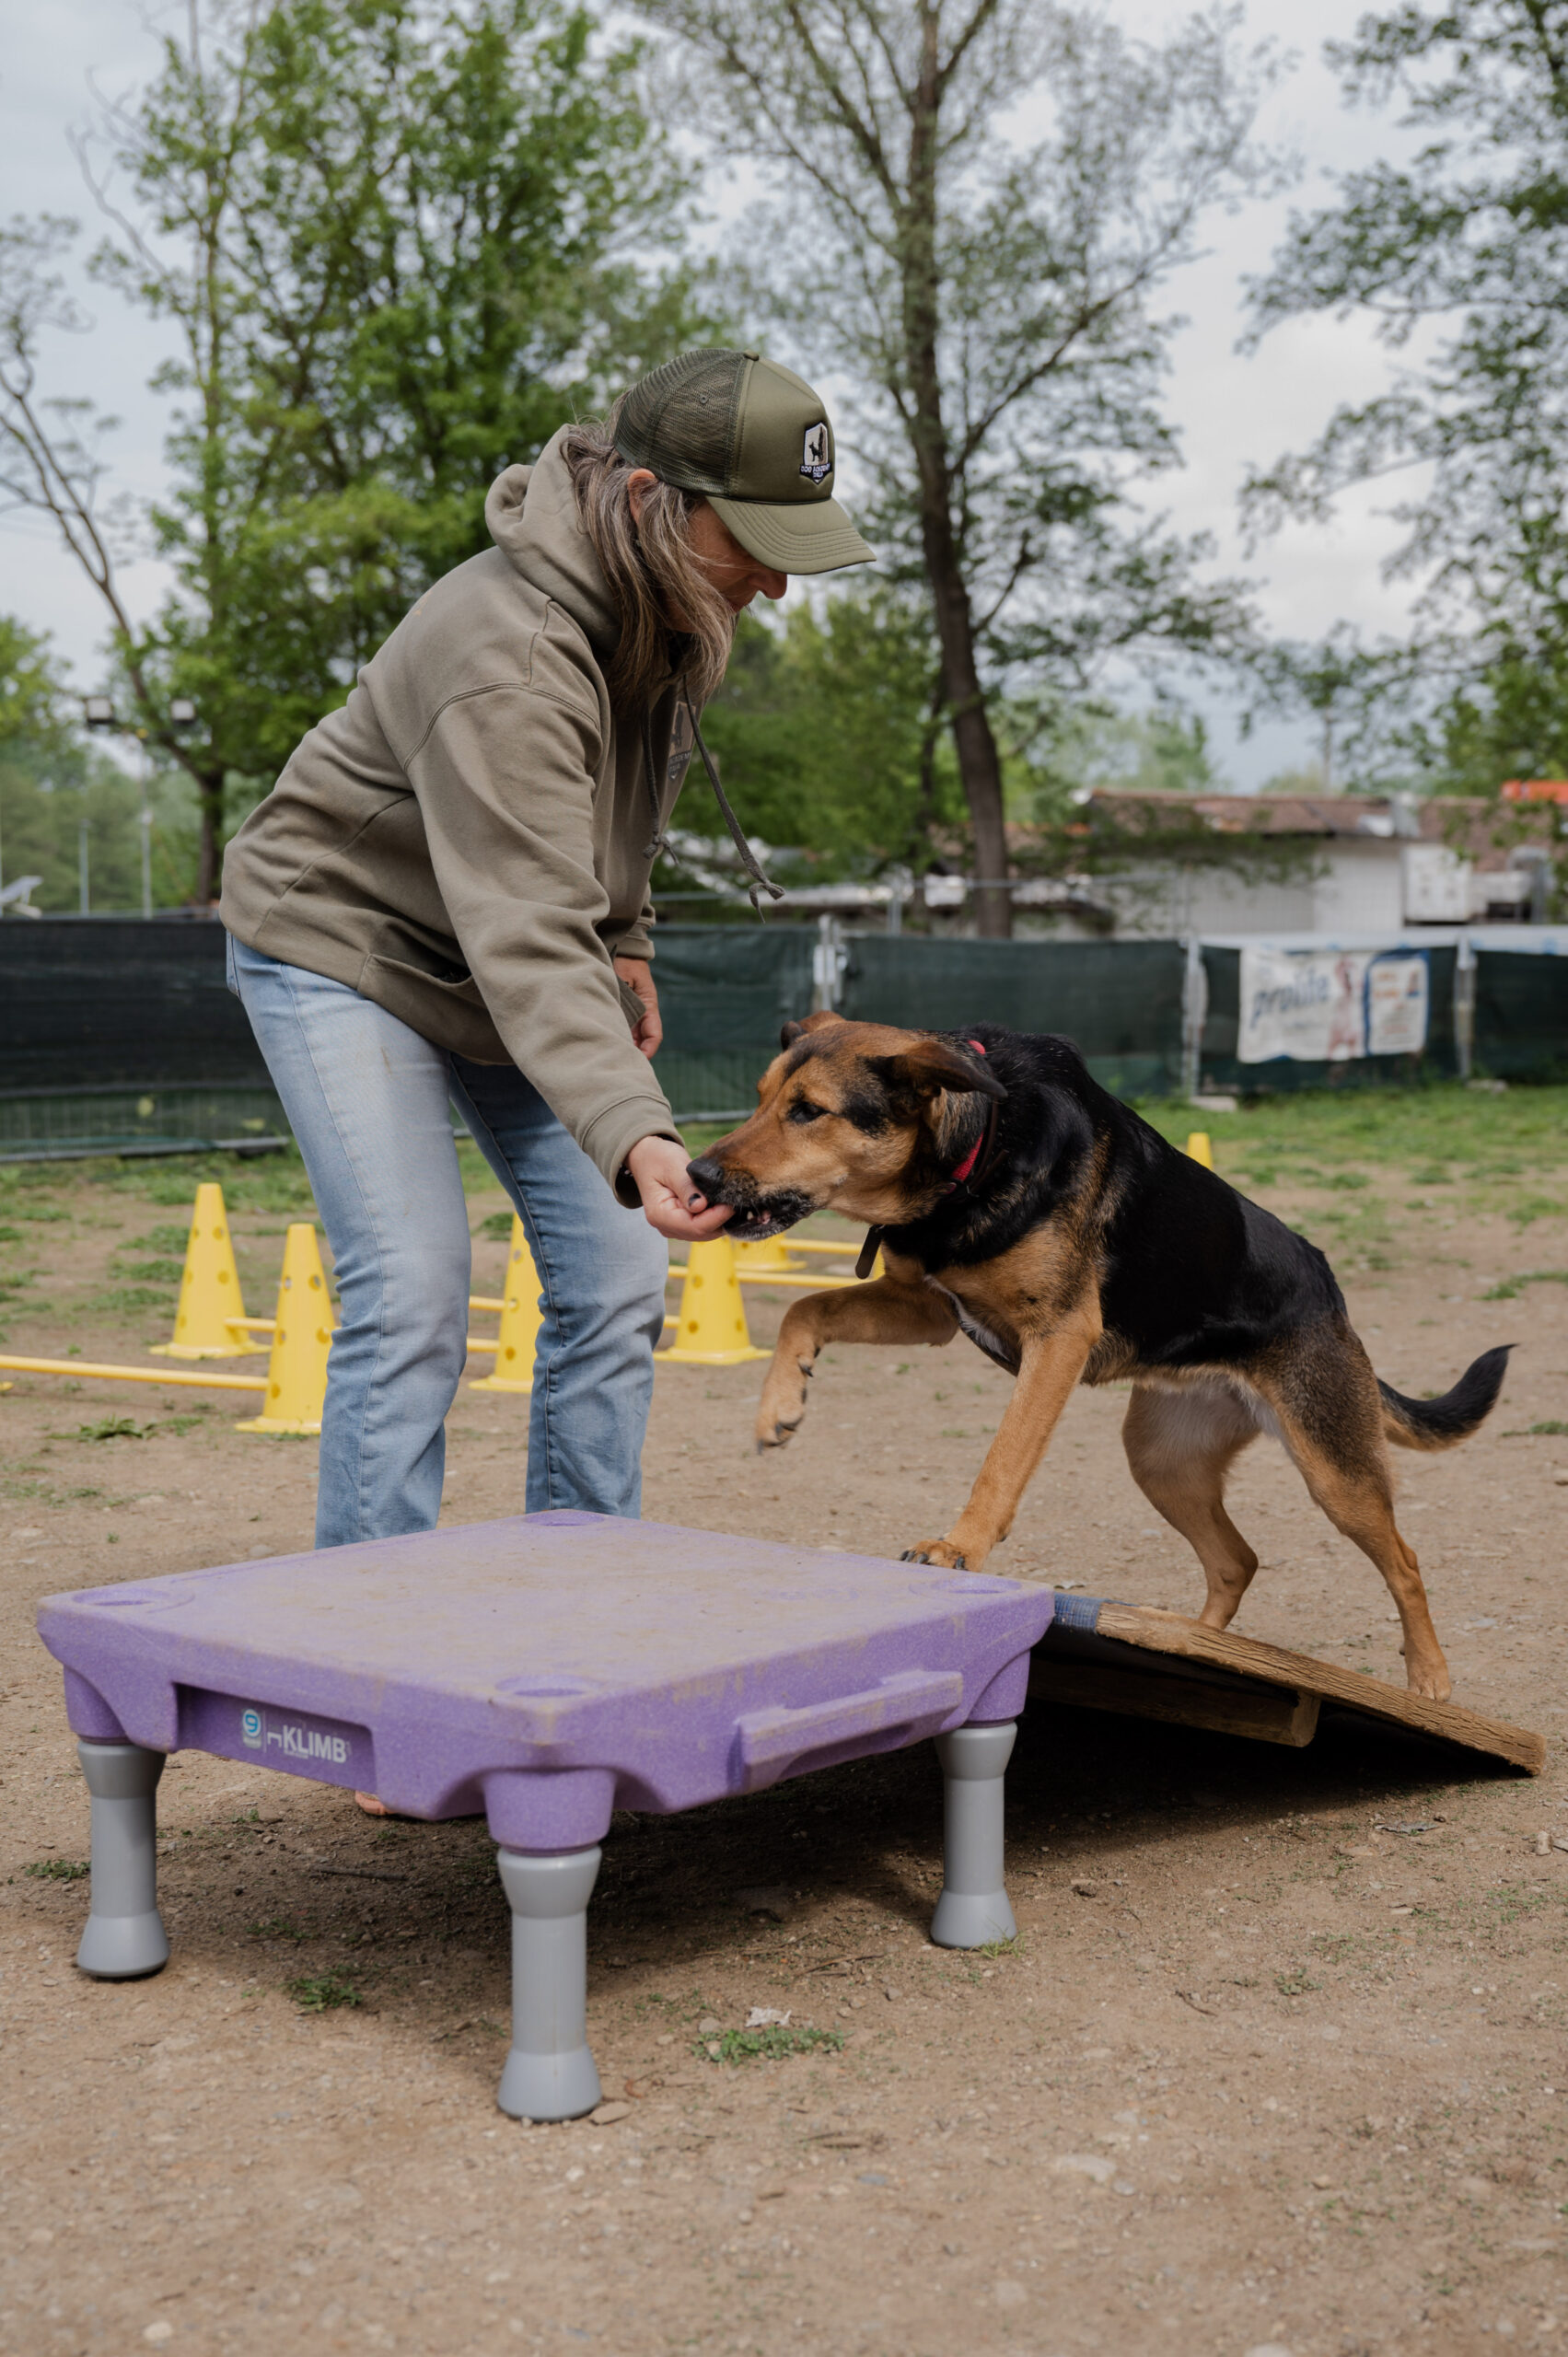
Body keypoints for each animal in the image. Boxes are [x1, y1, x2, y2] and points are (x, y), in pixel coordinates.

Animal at [692, 1013, 1508, 1697]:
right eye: (761, 1100)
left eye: (808, 1111)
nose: (697, 1176)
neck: (979, 1147)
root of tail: (1329, 1291)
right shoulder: (924, 1307)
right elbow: (803, 1308)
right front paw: (780, 1403)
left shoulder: (1057, 1338)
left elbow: (1001, 1462)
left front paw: (958, 1550)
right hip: (1161, 1462)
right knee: (1234, 1560)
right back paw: (1193, 1649)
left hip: (1332, 1469)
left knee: (1403, 1562)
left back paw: (1428, 1679)